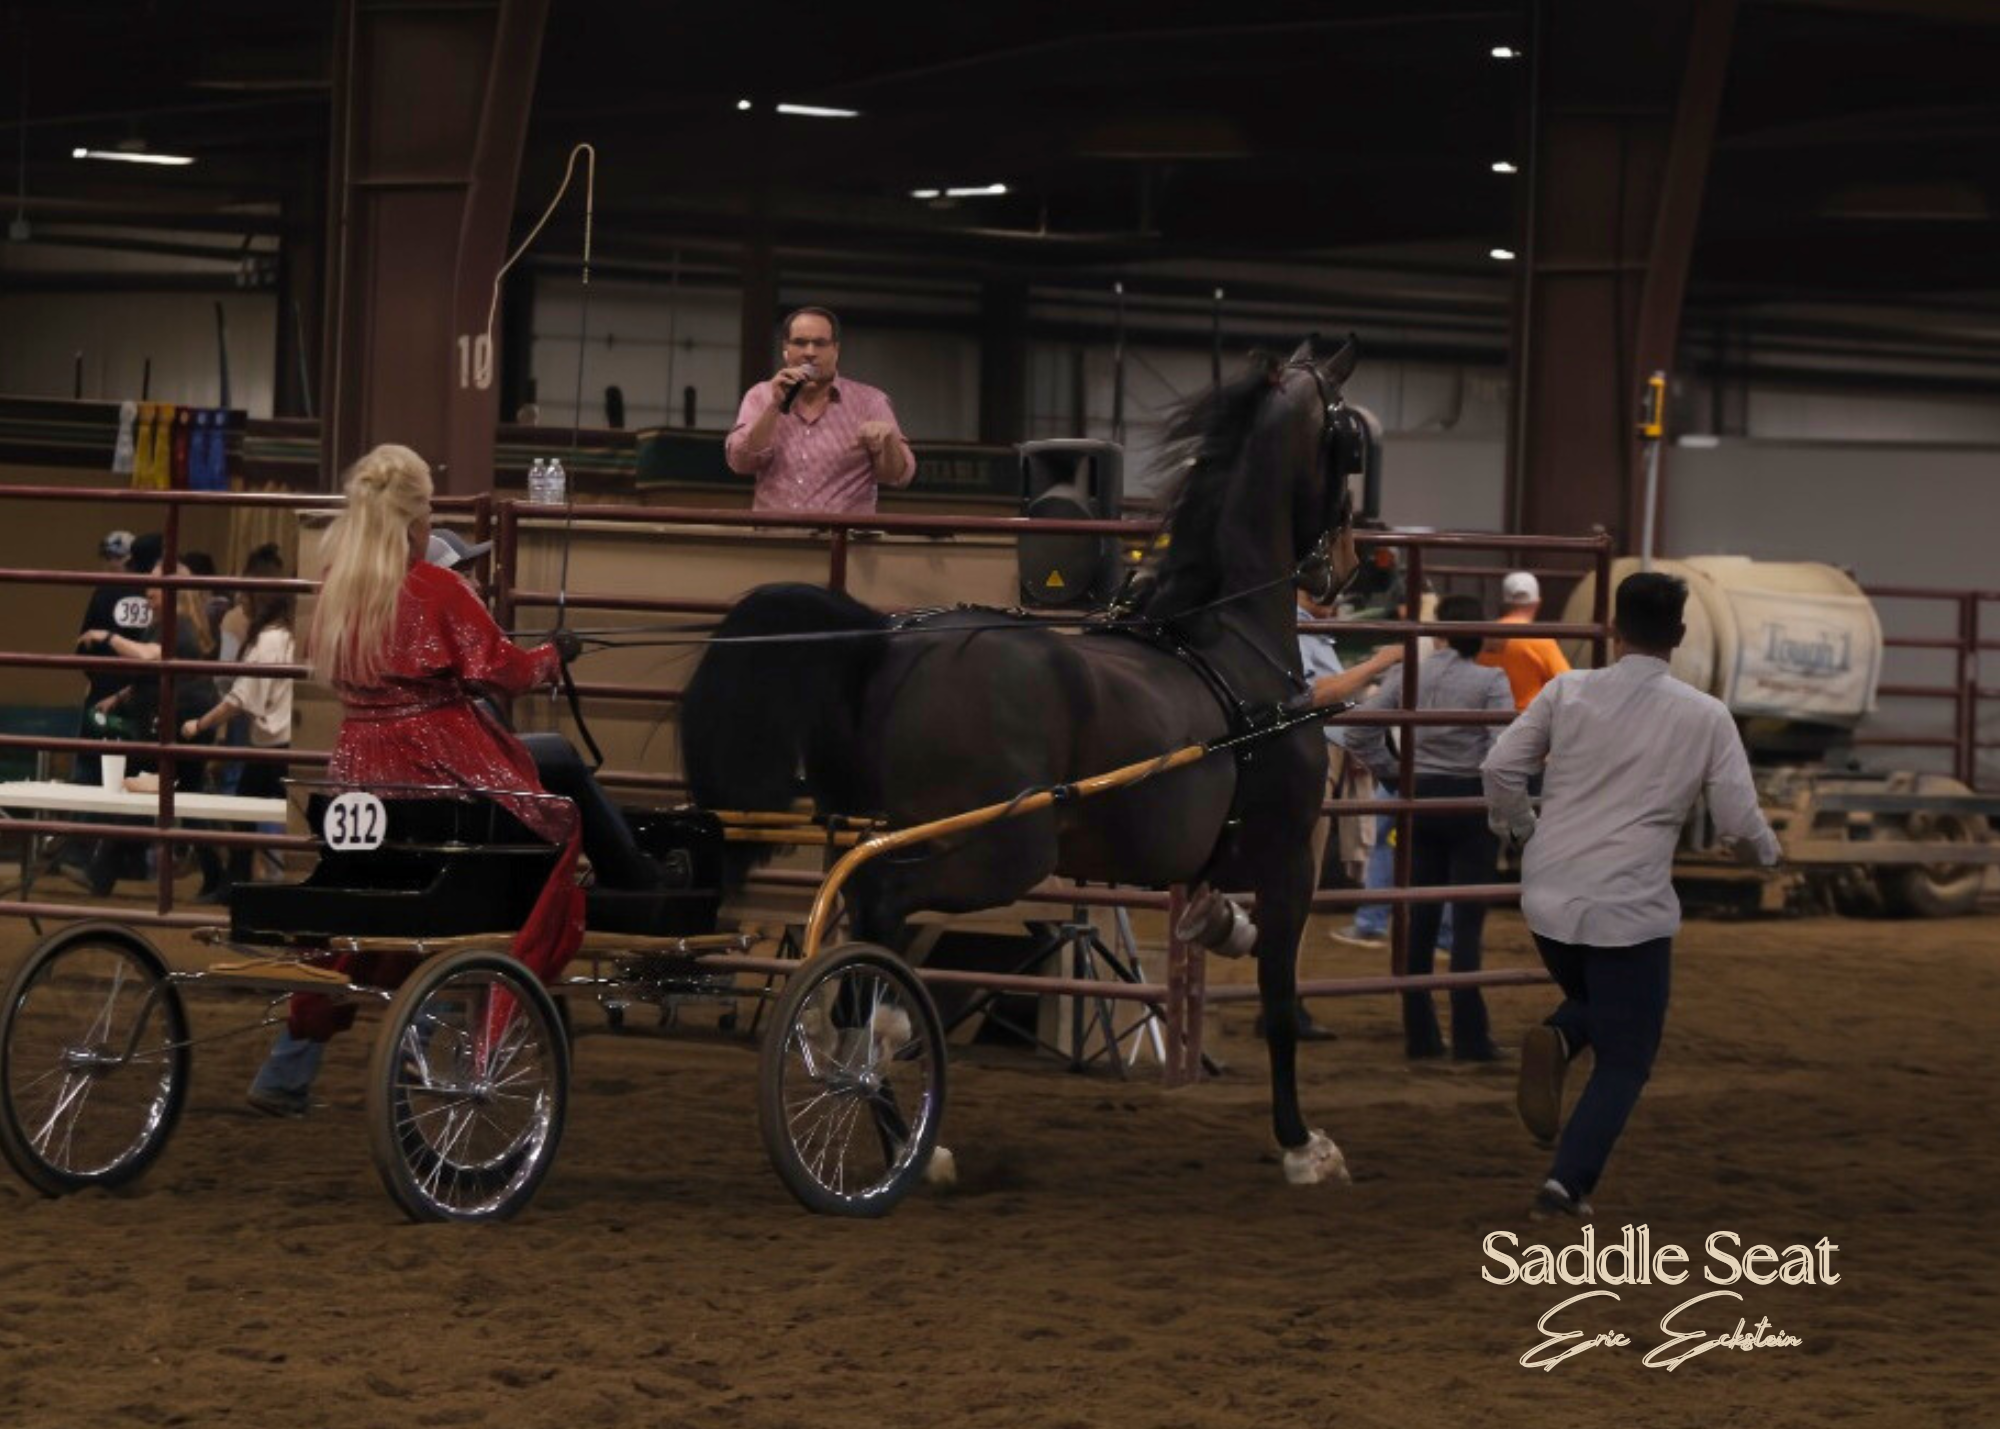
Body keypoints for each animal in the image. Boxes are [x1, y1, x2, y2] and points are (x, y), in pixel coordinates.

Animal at [680, 335, 1365, 1186]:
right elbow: (1276, 1001)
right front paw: (1304, 1144)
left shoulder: (1217, 861)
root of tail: (885, 645)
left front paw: (1221, 930)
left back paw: (905, 1134)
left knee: (859, 949)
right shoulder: (1287, 857)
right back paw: (897, 1098)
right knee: (875, 921)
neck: (1231, 641)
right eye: (1351, 445)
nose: (1343, 565)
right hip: (999, 850)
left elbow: (1216, 923)